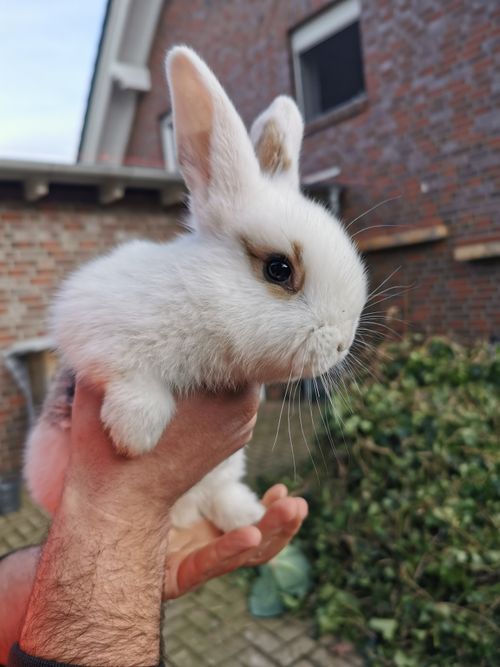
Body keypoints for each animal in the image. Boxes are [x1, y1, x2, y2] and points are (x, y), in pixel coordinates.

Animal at [24, 46, 368, 532]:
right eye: (279, 269)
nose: (342, 343)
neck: (203, 303)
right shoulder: (87, 320)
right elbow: (127, 371)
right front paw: (135, 434)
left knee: (217, 495)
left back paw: (246, 516)